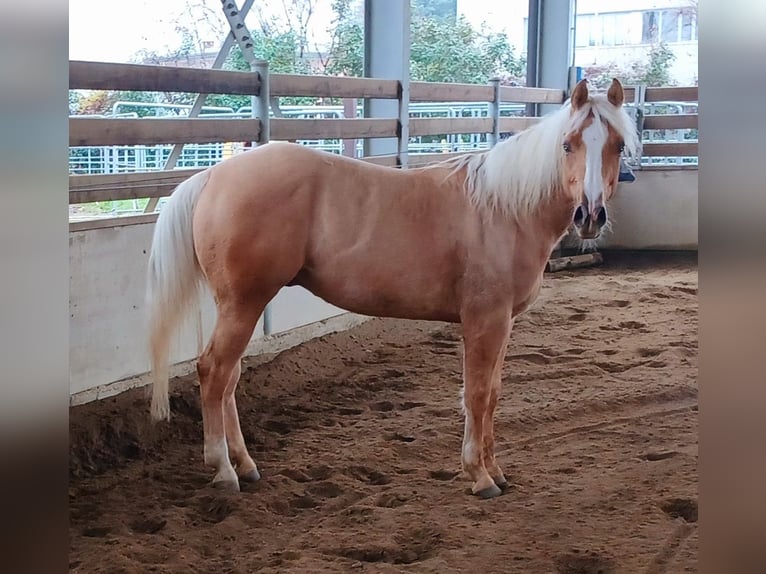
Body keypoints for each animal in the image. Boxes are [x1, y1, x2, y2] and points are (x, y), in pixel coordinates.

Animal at [146, 78, 639, 499]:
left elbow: (494, 394)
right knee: (213, 372)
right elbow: (477, 394)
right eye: (568, 144)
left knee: (228, 379)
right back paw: (224, 471)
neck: (504, 208)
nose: (590, 215)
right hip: (244, 304)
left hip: (242, 306)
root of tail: (213, 176)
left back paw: (246, 465)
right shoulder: (485, 321)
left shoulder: (503, 324)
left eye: (617, 145)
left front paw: (496, 470)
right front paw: (479, 477)